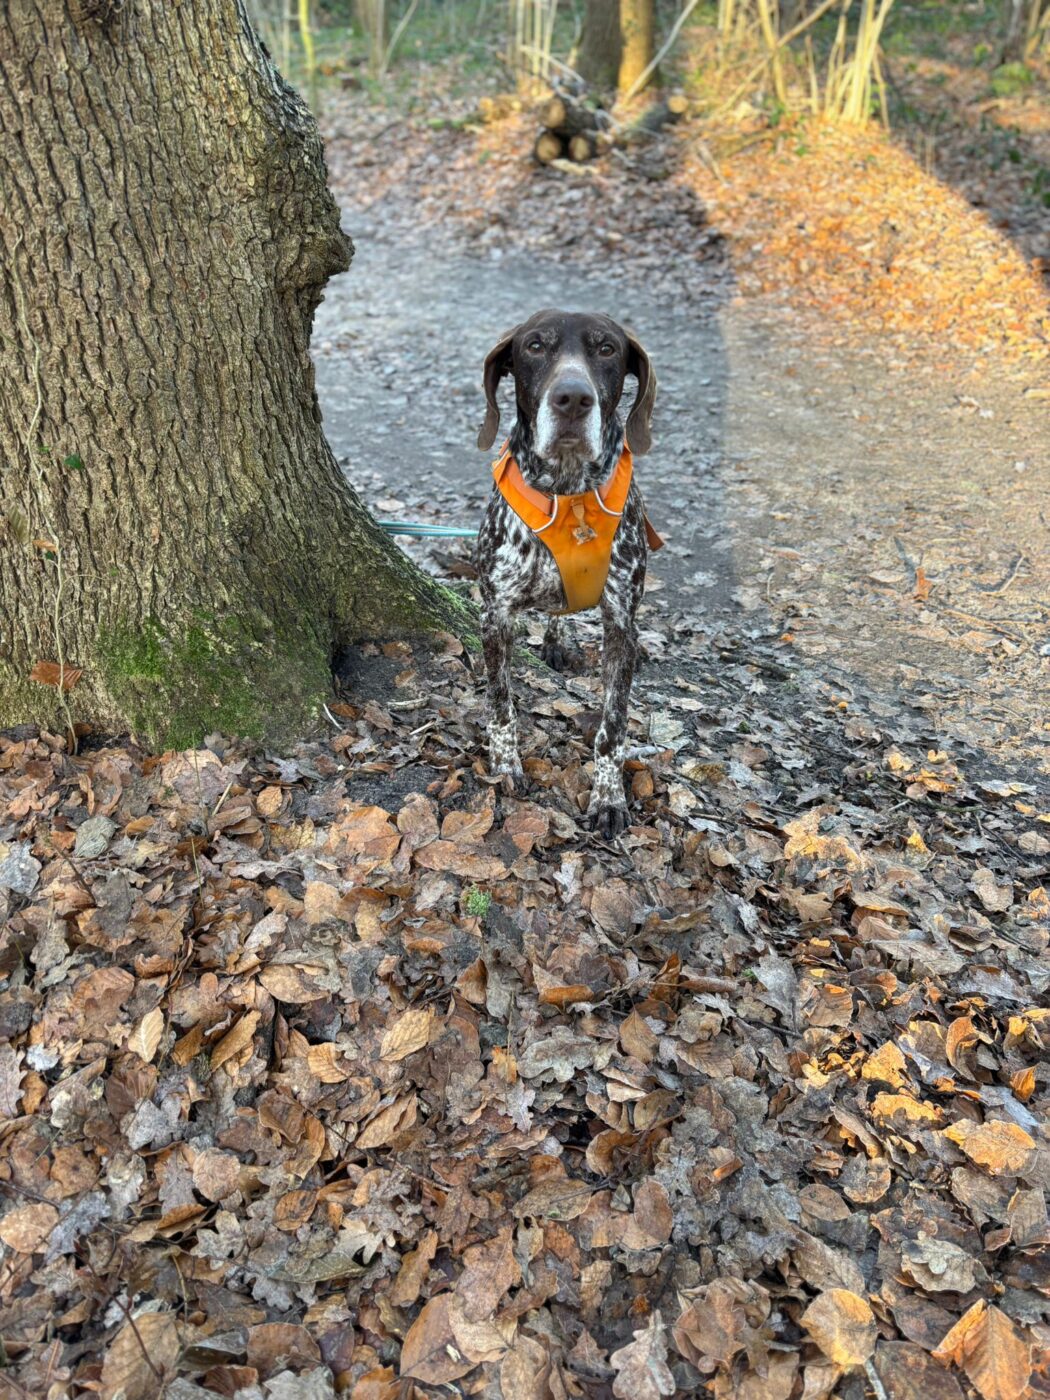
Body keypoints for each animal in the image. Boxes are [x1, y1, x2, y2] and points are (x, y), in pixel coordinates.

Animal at [474, 309, 659, 839]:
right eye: (535, 346)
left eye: (606, 349)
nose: (573, 398)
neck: (570, 495)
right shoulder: (495, 618)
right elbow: (501, 705)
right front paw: (505, 767)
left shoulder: (622, 625)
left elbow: (613, 726)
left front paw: (608, 796)